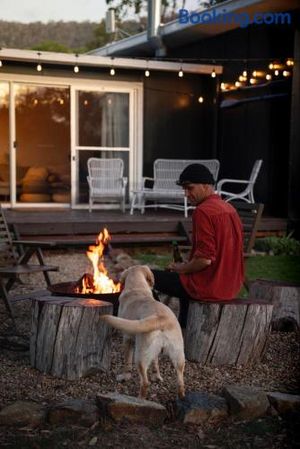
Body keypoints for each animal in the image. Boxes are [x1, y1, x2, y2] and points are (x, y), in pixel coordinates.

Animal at [101, 264, 185, 398]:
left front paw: (125, 376)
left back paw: (140, 398)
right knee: (180, 381)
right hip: (178, 356)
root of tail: (161, 319)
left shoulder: (128, 338)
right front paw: (157, 376)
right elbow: (156, 362)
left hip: (140, 355)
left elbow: (127, 361)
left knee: (145, 382)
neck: (137, 287)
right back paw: (181, 396)